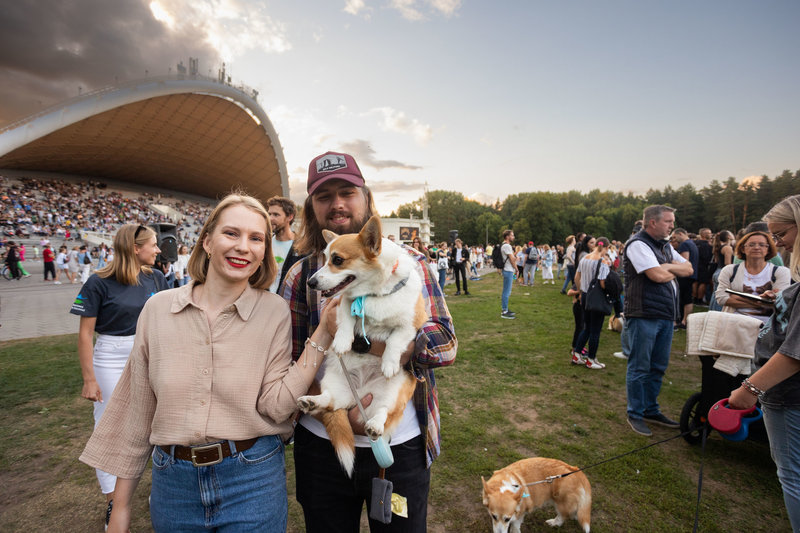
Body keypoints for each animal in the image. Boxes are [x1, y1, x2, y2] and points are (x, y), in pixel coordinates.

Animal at [296, 214, 428, 476]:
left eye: (337, 260)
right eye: (325, 258)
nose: (311, 282)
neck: (373, 294)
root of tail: (360, 393)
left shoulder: (412, 324)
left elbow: (395, 340)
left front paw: (389, 363)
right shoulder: (344, 303)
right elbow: (346, 320)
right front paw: (341, 342)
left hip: (393, 393)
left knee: (383, 412)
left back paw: (375, 425)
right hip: (334, 382)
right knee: (329, 402)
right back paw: (311, 401)